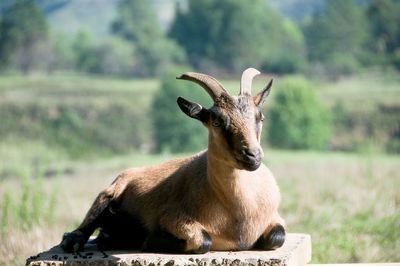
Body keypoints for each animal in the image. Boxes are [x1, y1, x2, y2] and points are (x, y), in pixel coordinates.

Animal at [60, 68, 284, 254]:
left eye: (260, 117)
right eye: (217, 121)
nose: (253, 155)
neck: (239, 214)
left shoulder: (275, 219)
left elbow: (277, 237)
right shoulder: (173, 217)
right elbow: (203, 241)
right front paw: (148, 240)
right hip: (108, 195)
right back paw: (76, 240)